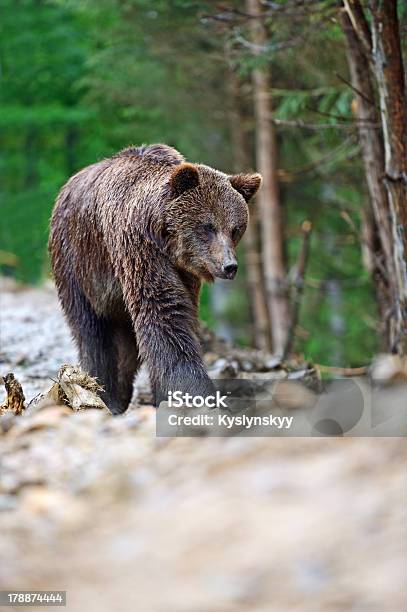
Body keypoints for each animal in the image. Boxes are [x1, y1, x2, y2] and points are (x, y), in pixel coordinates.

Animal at [49, 143, 262, 414]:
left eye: (235, 228)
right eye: (208, 226)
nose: (229, 266)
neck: (165, 240)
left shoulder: (186, 273)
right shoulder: (137, 248)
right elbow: (164, 312)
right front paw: (194, 392)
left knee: (127, 344)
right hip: (77, 263)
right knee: (91, 330)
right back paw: (104, 394)